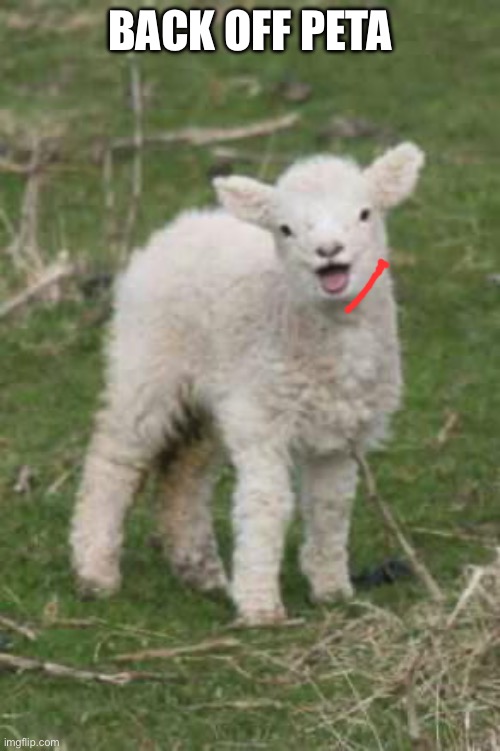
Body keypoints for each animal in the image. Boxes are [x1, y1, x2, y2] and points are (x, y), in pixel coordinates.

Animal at [70, 142, 425, 626]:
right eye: (285, 229)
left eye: (365, 213)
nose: (328, 251)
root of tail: (181, 225)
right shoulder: (263, 420)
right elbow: (267, 503)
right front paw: (260, 605)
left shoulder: (339, 436)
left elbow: (330, 505)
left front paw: (332, 589)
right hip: (147, 364)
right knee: (115, 458)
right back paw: (95, 570)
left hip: (212, 398)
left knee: (185, 473)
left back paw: (200, 572)